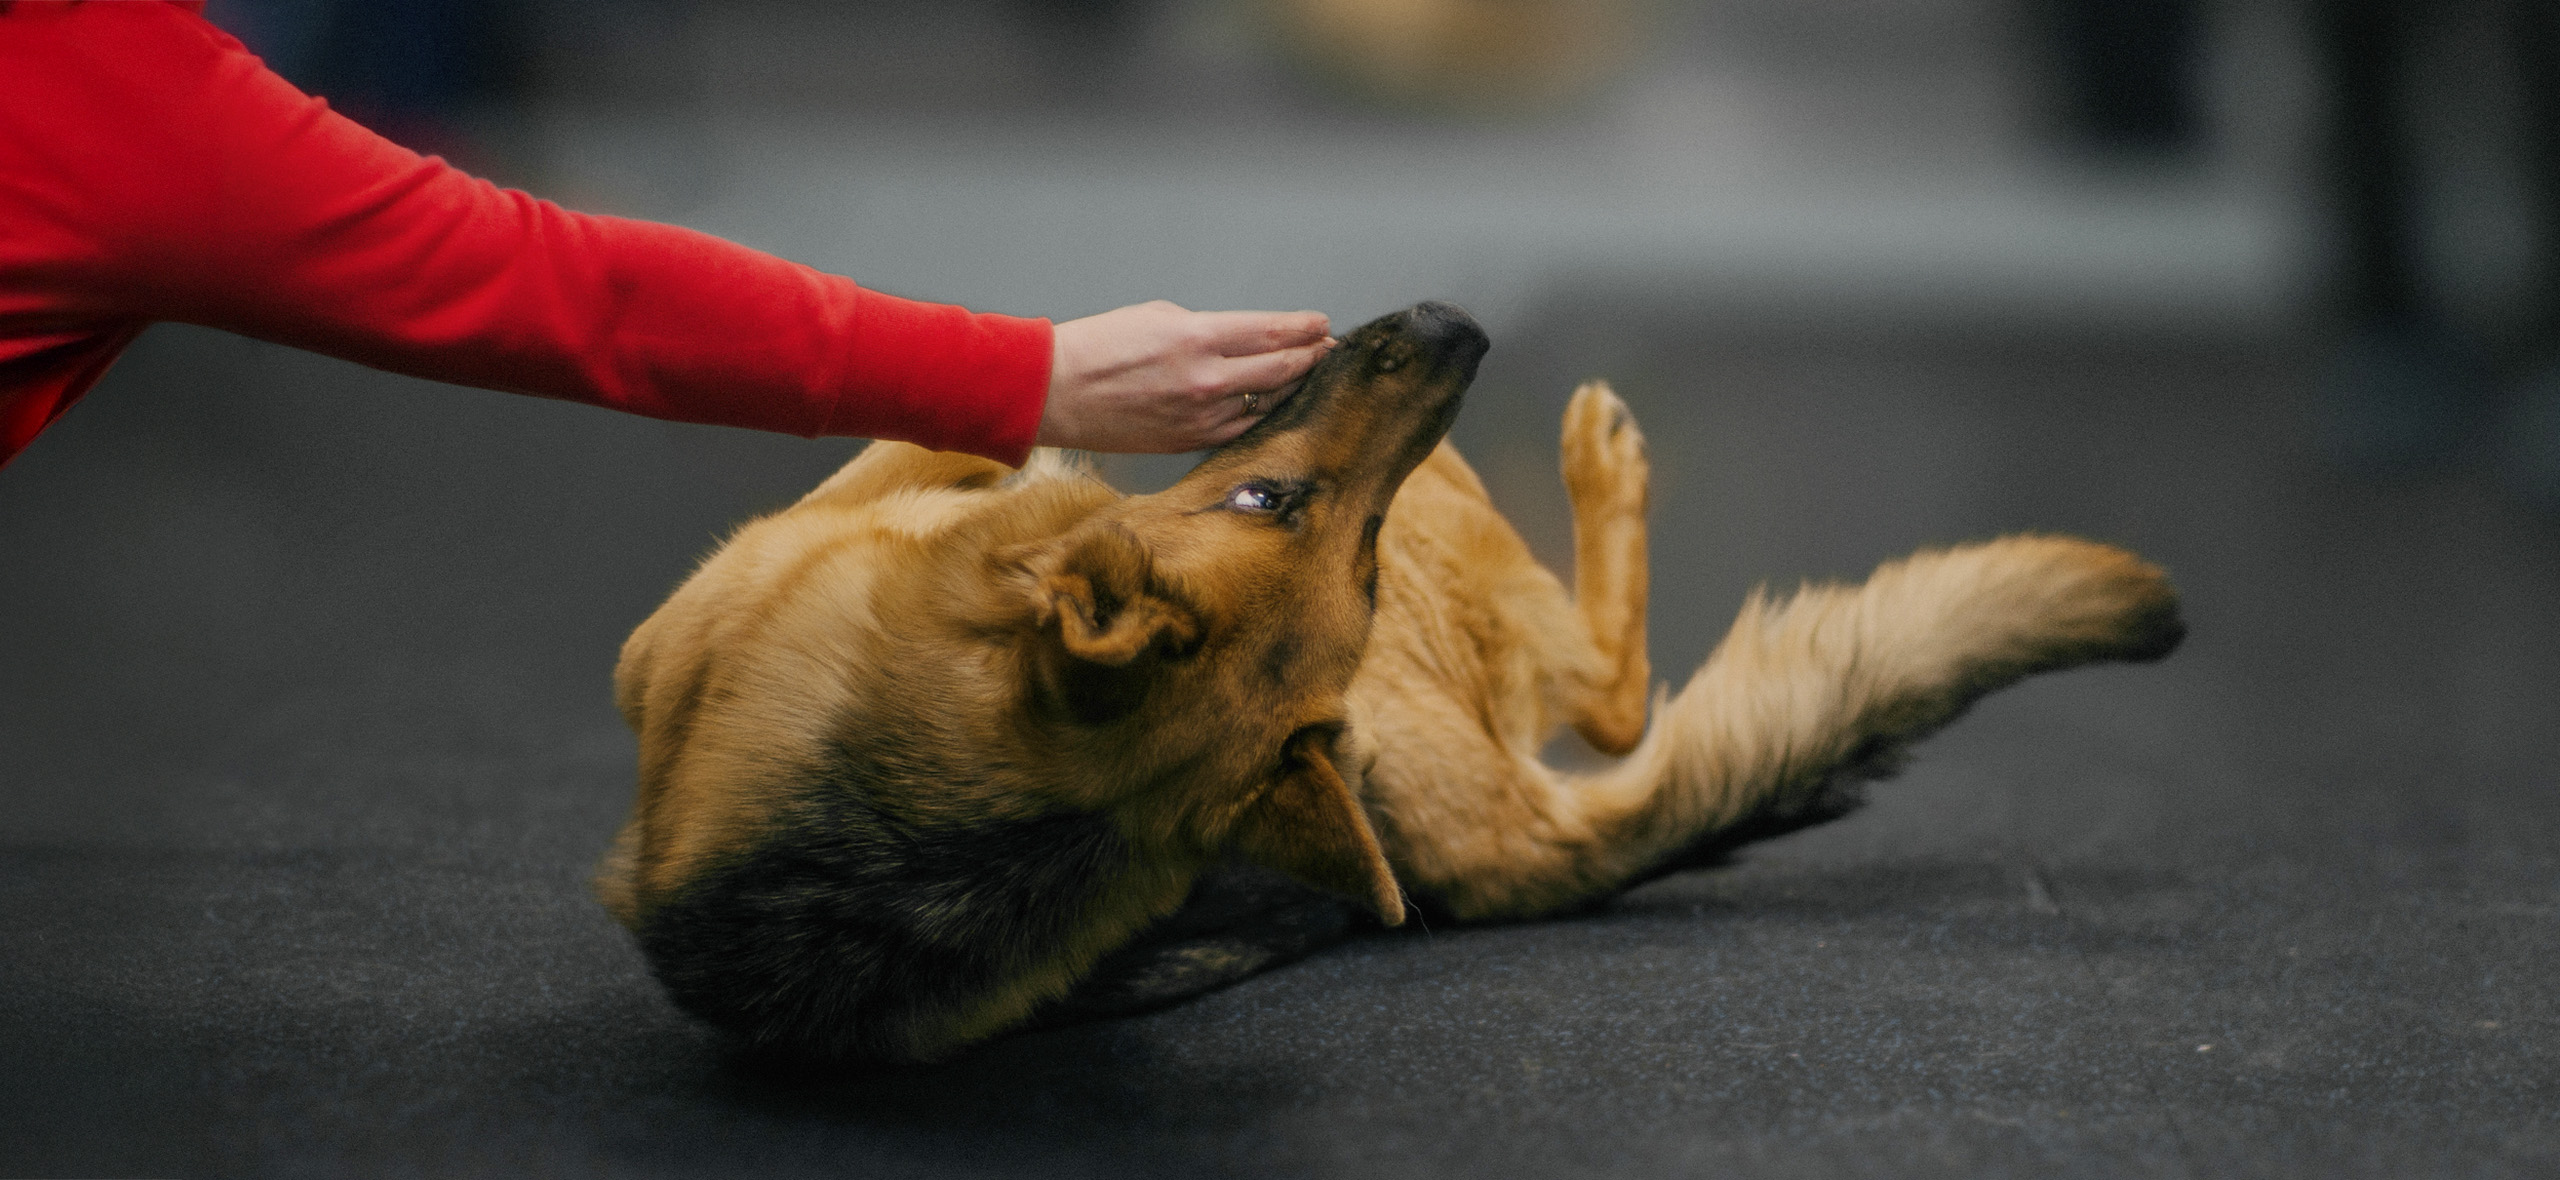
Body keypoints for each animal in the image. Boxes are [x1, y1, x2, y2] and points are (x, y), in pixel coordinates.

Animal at [593, 299, 2181, 1064]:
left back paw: (1596, 453)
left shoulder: (687, 617)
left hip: (1448, 540)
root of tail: (1520, 857)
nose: (1458, 333)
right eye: (1272, 506)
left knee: (1611, 688)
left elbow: (951, 438)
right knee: (1608, 700)